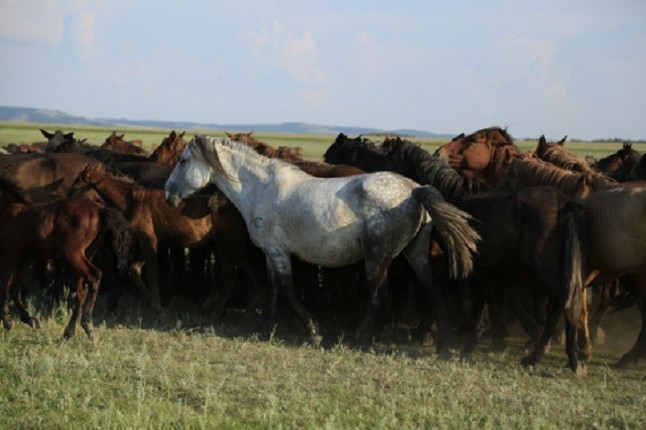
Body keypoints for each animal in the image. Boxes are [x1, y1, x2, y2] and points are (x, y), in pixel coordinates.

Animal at [0, 173, 131, 341]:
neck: (7, 210)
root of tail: (99, 210)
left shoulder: (9, 258)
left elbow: (5, 289)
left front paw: (8, 322)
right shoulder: (24, 259)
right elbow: (15, 289)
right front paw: (30, 320)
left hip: (74, 254)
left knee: (94, 276)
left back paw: (87, 325)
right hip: (87, 253)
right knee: (82, 289)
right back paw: (69, 333)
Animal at [165, 136, 480, 350]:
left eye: (182, 161)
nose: (168, 195)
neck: (260, 189)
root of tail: (415, 190)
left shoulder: (279, 252)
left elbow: (287, 290)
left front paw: (314, 332)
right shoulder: (270, 253)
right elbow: (272, 290)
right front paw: (264, 327)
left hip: (376, 257)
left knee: (381, 297)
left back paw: (359, 338)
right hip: (415, 254)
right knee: (434, 290)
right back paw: (441, 342)